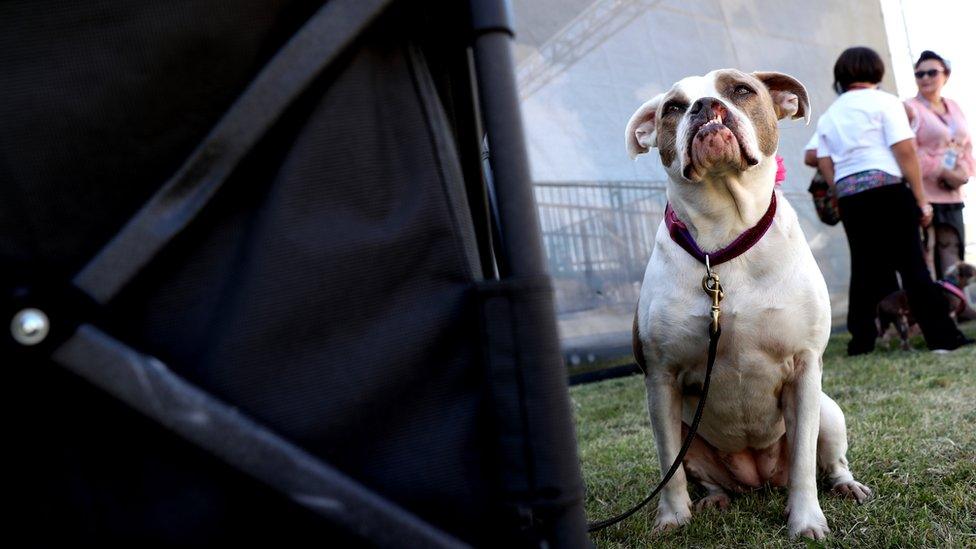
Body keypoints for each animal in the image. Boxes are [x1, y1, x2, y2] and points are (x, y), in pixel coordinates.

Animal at [624, 69, 868, 540]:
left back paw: (847, 486)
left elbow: (804, 465)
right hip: (692, 437)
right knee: (703, 474)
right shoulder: (661, 379)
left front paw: (806, 520)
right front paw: (671, 518)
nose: (705, 107)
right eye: (673, 108)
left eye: (741, 90)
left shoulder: (804, 368)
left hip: (829, 412)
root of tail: (758, 479)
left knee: (829, 461)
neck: (724, 239)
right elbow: (668, 467)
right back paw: (715, 499)